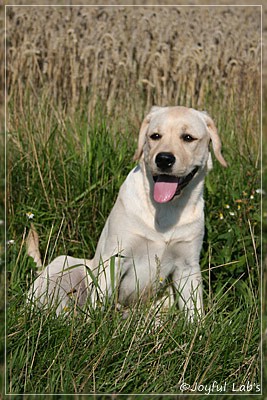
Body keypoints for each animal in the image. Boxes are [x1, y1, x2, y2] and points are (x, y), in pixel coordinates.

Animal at [28, 106, 227, 318]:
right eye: (155, 136)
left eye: (188, 138)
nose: (163, 159)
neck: (165, 209)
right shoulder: (114, 258)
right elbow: (99, 301)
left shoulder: (187, 267)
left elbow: (194, 313)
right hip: (66, 265)